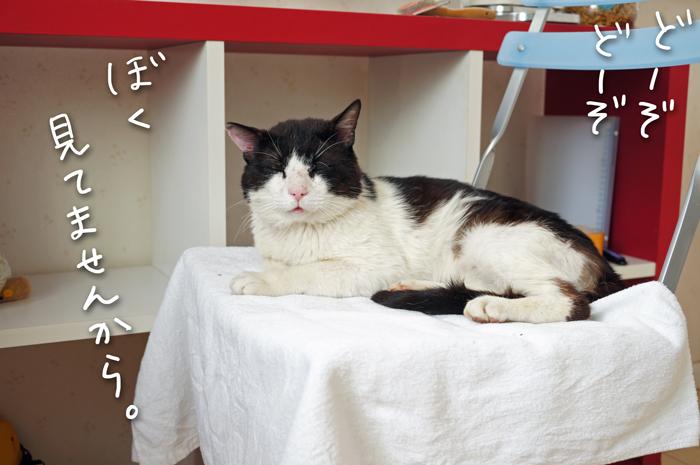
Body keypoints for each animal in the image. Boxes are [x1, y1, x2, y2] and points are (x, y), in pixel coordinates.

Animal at [225, 100, 623, 323]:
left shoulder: (374, 265)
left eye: (318, 167)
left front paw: (262, 280)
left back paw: (489, 308)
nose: (297, 191)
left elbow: (308, 271)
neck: (301, 235)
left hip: (487, 237)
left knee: (569, 302)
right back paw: (417, 284)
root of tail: (603, 265)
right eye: (277, 169)